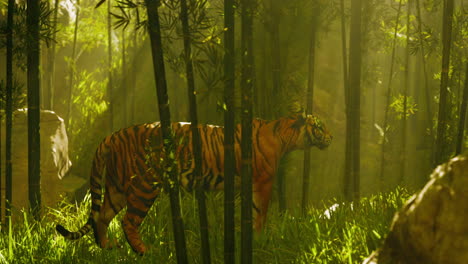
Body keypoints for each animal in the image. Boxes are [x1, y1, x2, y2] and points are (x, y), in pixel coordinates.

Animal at [55, 111, 332, 254]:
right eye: (320, 127)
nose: (332, 137)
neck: (285, 135)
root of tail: (112, 136)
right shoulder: (262, 182)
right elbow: (260, 213)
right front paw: (258, 238)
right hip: (145, 186)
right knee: (128, 221)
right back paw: (144, 251)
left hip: (117, 188)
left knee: (101, 217)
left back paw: (106, 248)